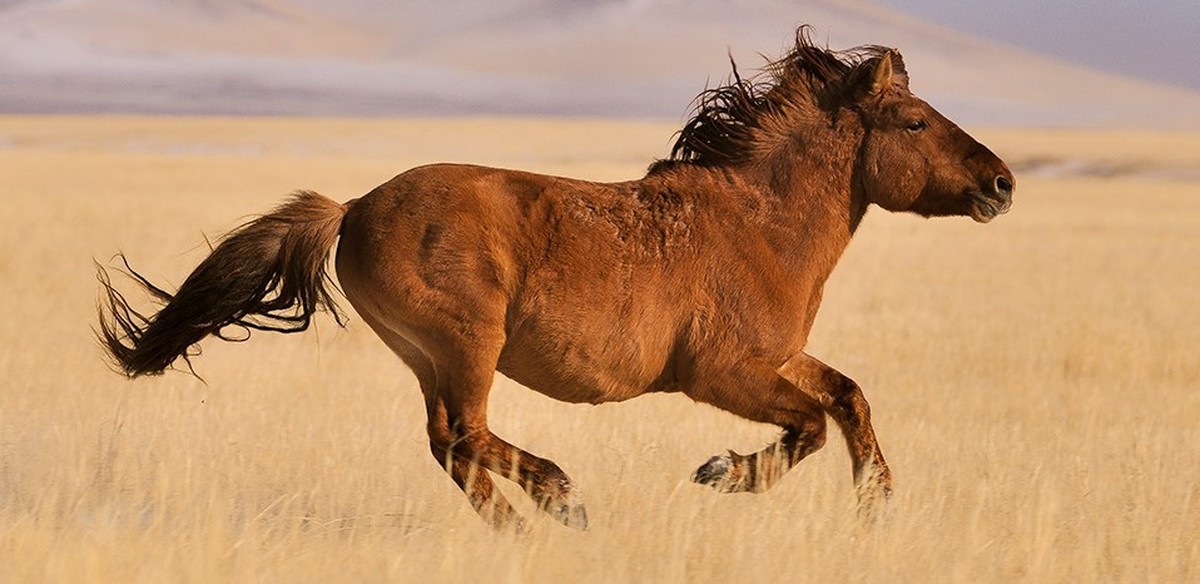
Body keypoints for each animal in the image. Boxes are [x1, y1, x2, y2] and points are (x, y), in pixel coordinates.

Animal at [96, 28, 1012, 534]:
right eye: (914, 121)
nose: (1001, 184)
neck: (758, 224)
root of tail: (353, 207)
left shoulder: (778, 359)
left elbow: (848, 397)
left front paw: (877, 504)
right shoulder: (722, 375)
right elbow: (811, 427)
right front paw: (723, 473)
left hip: (428, 356)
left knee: (449, 445)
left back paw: (523, 527)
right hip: (467, 343)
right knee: (464, 435)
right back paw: (562, 501)